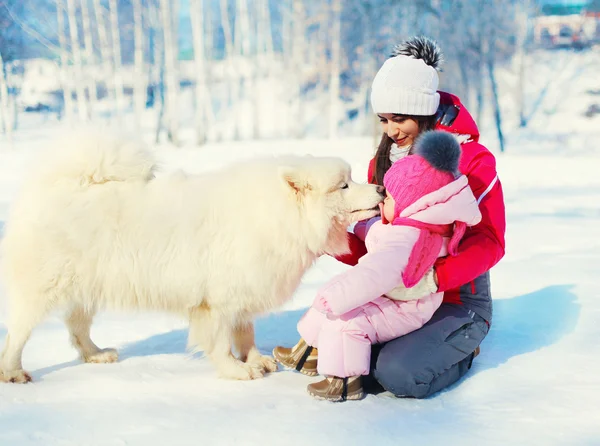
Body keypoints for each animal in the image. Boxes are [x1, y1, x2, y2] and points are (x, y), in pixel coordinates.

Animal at [1, 130, 384, 384]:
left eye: (352, 179)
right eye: (344, 185)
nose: (380, 187)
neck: (276, 215)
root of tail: (60, 187)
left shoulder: (242, 294)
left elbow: (245, 334)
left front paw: (256, 360)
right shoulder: (215, 303)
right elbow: (220, 343)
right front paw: (237, 370)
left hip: (89, 286)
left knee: (77, 327)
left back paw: (96, 355)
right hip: (43, 288)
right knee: (18, 333)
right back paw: (13, 372)